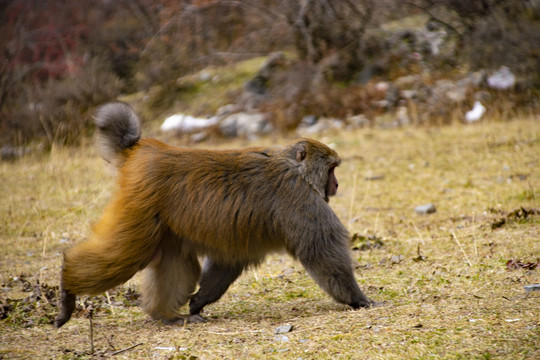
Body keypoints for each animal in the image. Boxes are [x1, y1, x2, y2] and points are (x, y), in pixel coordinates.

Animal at [54, 102, 376, 328]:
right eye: (332, 169)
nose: (336, 185)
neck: (295, 169)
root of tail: (144, 148)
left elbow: (229, 259)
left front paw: (199, 301)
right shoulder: (300, 200)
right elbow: (321, 251)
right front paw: (359, 299)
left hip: (162, 222)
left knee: (178, 263)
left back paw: (167, 316)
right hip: (138, 207)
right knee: (126, 254)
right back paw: (68, 284)